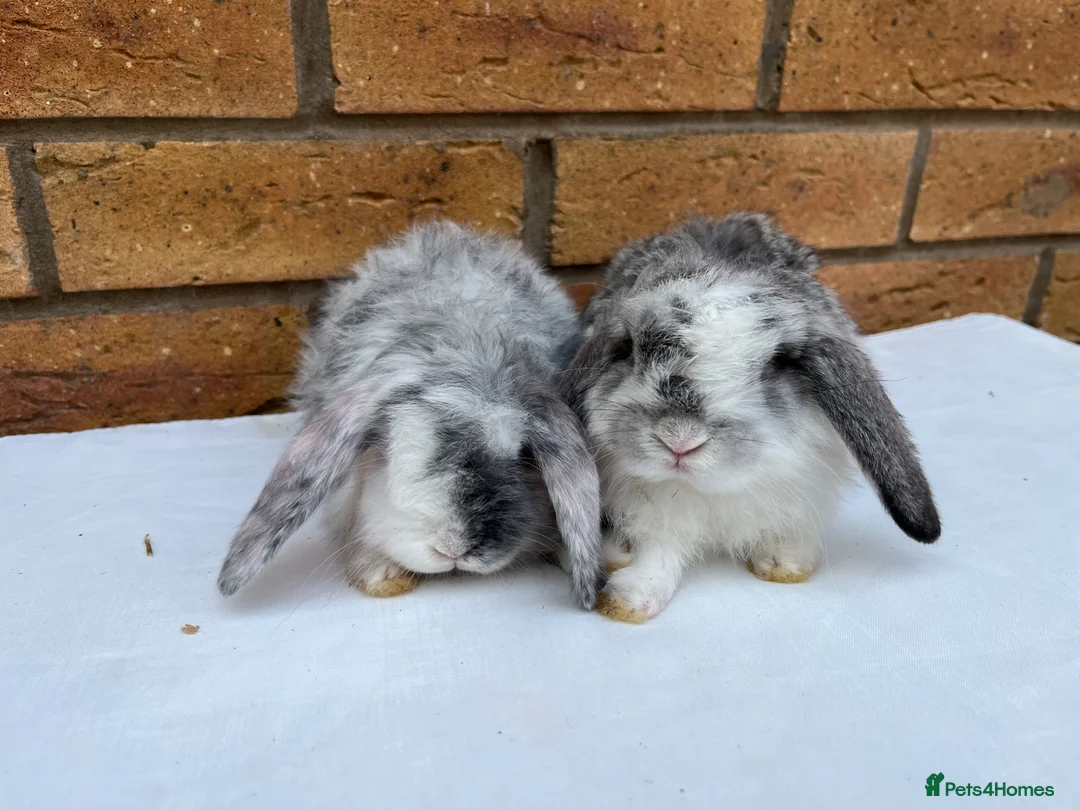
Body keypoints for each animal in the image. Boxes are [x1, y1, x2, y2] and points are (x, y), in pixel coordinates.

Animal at [562, 213, 941, 623]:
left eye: (775, 364)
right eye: (630, 349)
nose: (679, 441)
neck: (712, 492)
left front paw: (784, 564)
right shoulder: (659, 515)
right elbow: (660, 554)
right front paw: (628, 601)